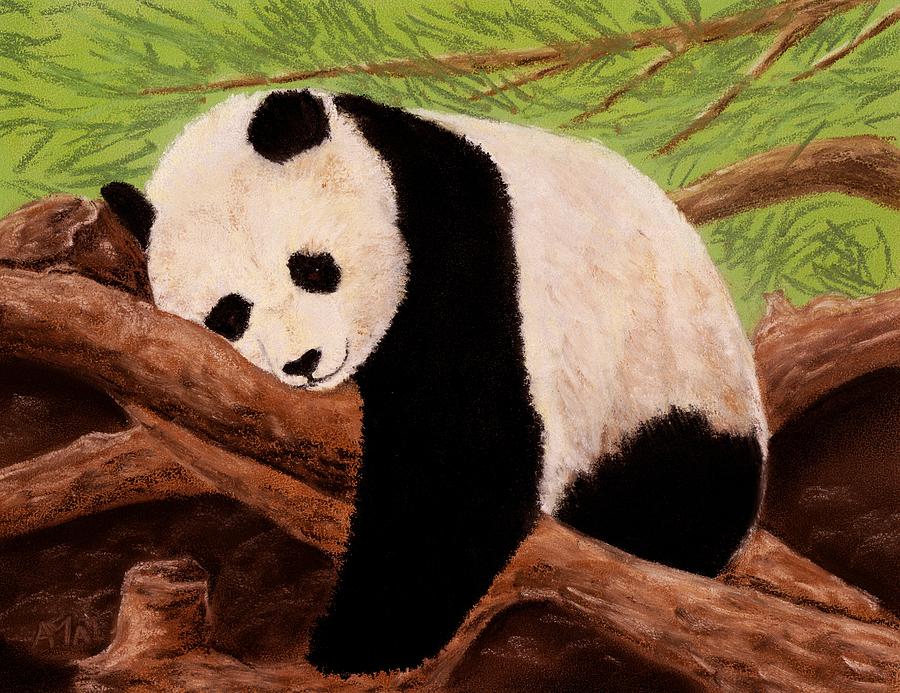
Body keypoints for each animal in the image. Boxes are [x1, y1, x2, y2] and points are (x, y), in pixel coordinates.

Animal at [101, 89, 767, 677]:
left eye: (312, 269)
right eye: (230, 314)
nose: (304, 361)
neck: (388, 159)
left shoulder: (461, 240)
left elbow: (463, 455)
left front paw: (355, 645)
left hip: (666, 391)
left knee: (669, 494)